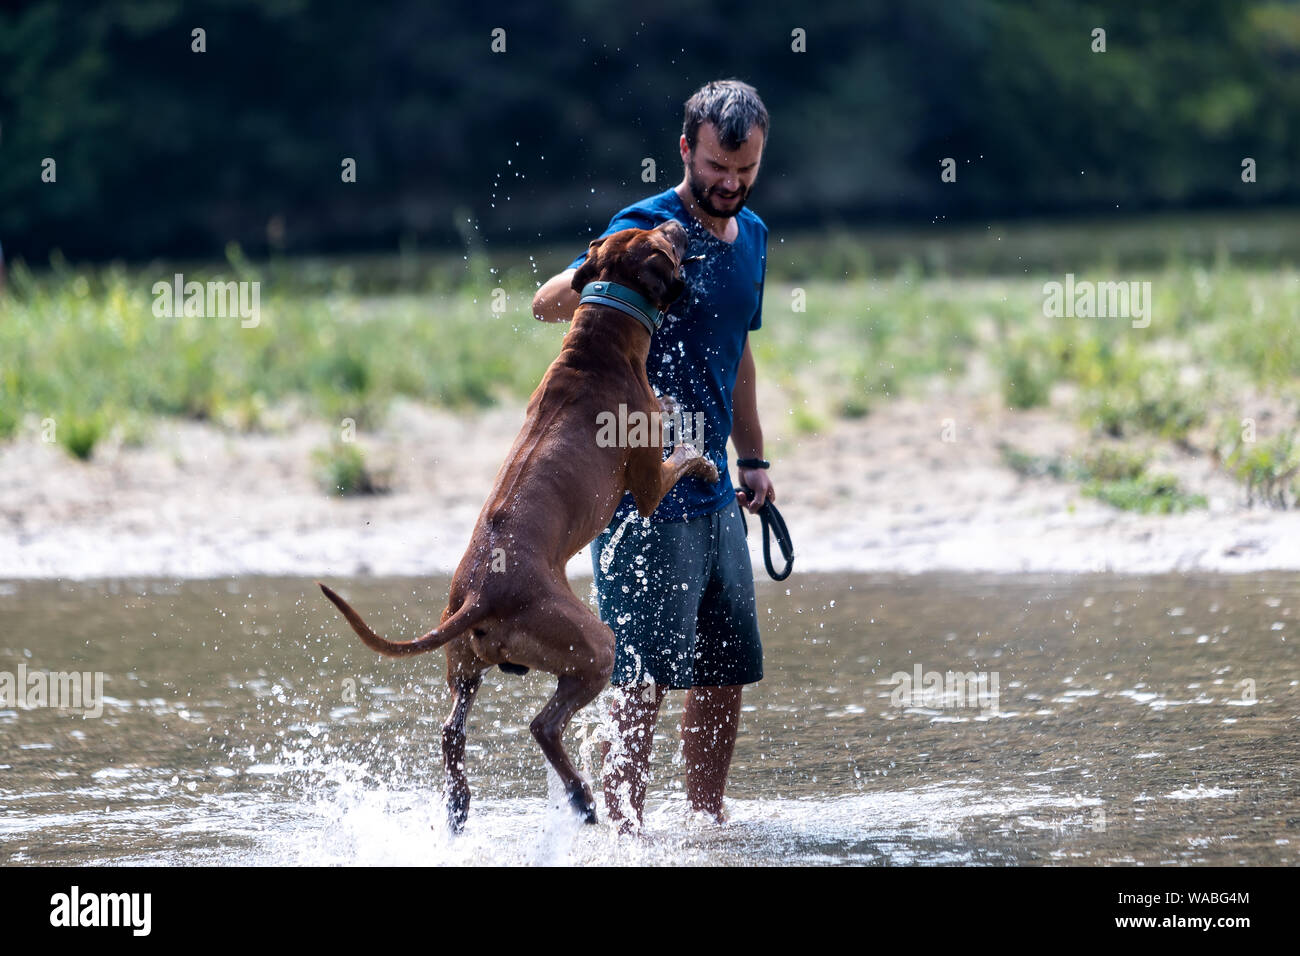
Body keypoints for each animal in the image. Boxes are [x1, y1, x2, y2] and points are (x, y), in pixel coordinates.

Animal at [318, 218, 717, 832]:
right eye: (660, 238)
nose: (678, 222)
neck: (599, 338)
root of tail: (482, 592)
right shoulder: (649, 488)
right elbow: (684, 456)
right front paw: (700, 450)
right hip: (597, 644)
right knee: (543, 724)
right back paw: (579, 795)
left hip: (465, 662)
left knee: (452, 730)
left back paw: (460, 805)